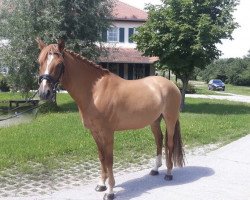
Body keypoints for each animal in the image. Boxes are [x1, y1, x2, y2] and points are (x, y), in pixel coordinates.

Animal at [36, 39, 185, 200]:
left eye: (59, 64)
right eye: (39, 62)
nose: (44, 93)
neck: (95, 92)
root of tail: (172, 85)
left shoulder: (108, 133)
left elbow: (109, 160)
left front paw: (110, 191)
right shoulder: (95, 132)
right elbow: (101, 158)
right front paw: (101, 184)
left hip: (170, 119)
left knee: (169, 144)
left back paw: (169, 173)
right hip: (154, 121)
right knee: (159, 140)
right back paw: (155, 169)